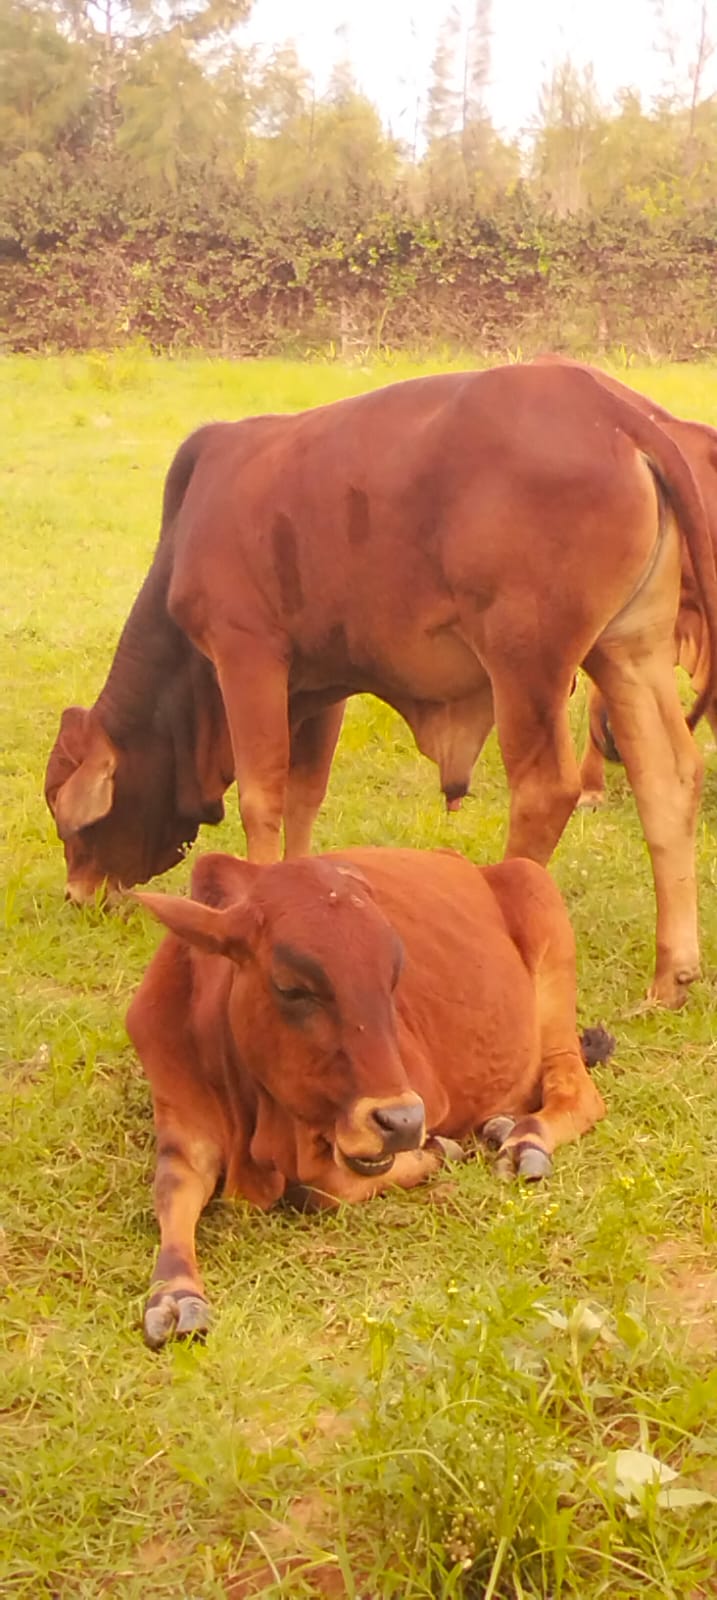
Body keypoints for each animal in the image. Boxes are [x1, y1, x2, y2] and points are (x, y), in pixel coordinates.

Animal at [45, 362, 717, 1006]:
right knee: (667, 776)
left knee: (546, 789)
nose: (78, 895)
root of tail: (616, 411)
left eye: (71, 821)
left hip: (525, 659)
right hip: (628, 649)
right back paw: (671, 976)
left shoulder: (246, 652)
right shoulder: (319, 685)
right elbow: (304, 796)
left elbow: (261, 798)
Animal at [127, 845, 609, 1349]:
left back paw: (523, 1141)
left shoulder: (424, 1097)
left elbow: (320, 1186)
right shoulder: (182, 1130)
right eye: (292, 988)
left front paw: (437, 1151)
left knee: (575, 1090)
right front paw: (174, 1295)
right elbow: (171, 1191)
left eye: (393, 980)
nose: (401, 1122)